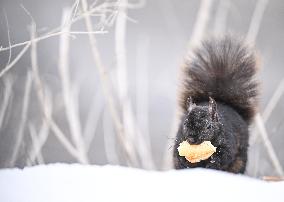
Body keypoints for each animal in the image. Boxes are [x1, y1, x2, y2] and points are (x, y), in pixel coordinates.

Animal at [173, 35, 260, 173]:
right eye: (185, 123)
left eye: (209, 126)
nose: (191, 139)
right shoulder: (179, 138)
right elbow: (177, 154)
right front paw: (184, 163)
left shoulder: (228, 142)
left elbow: (224, 156)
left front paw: (212, 164)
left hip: (240, 161)